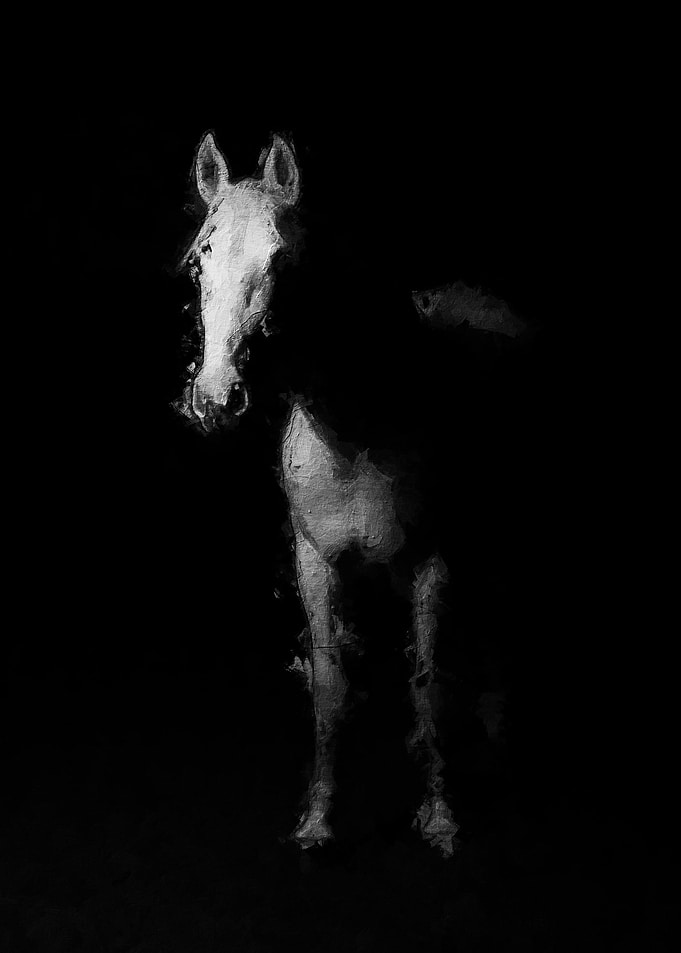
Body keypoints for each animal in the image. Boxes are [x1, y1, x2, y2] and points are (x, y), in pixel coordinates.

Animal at [177, 131, 523, 857]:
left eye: (282, 258)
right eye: (200, 259)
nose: (216, 399)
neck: (358, 428)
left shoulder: (431, 564)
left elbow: (427, 682)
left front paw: (440, 817)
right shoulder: (316, 562)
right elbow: (330, 684)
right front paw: (317, 819)